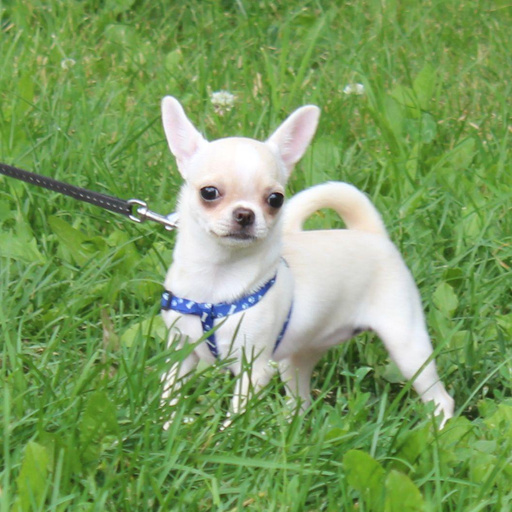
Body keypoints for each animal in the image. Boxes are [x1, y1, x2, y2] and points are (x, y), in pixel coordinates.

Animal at [159, 96, 454, 429]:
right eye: (209, 193)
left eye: (275, 199)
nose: (245, 214)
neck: (217, 278)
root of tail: (371, 232)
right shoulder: (180, 352)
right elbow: (169, 394)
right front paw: (166, 426)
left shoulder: (253, 366)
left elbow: (236, 415)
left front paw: (222, 437)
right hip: (298, 357)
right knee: (301, 401)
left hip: (408, 346)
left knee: (439, 397)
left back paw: (439, 430)